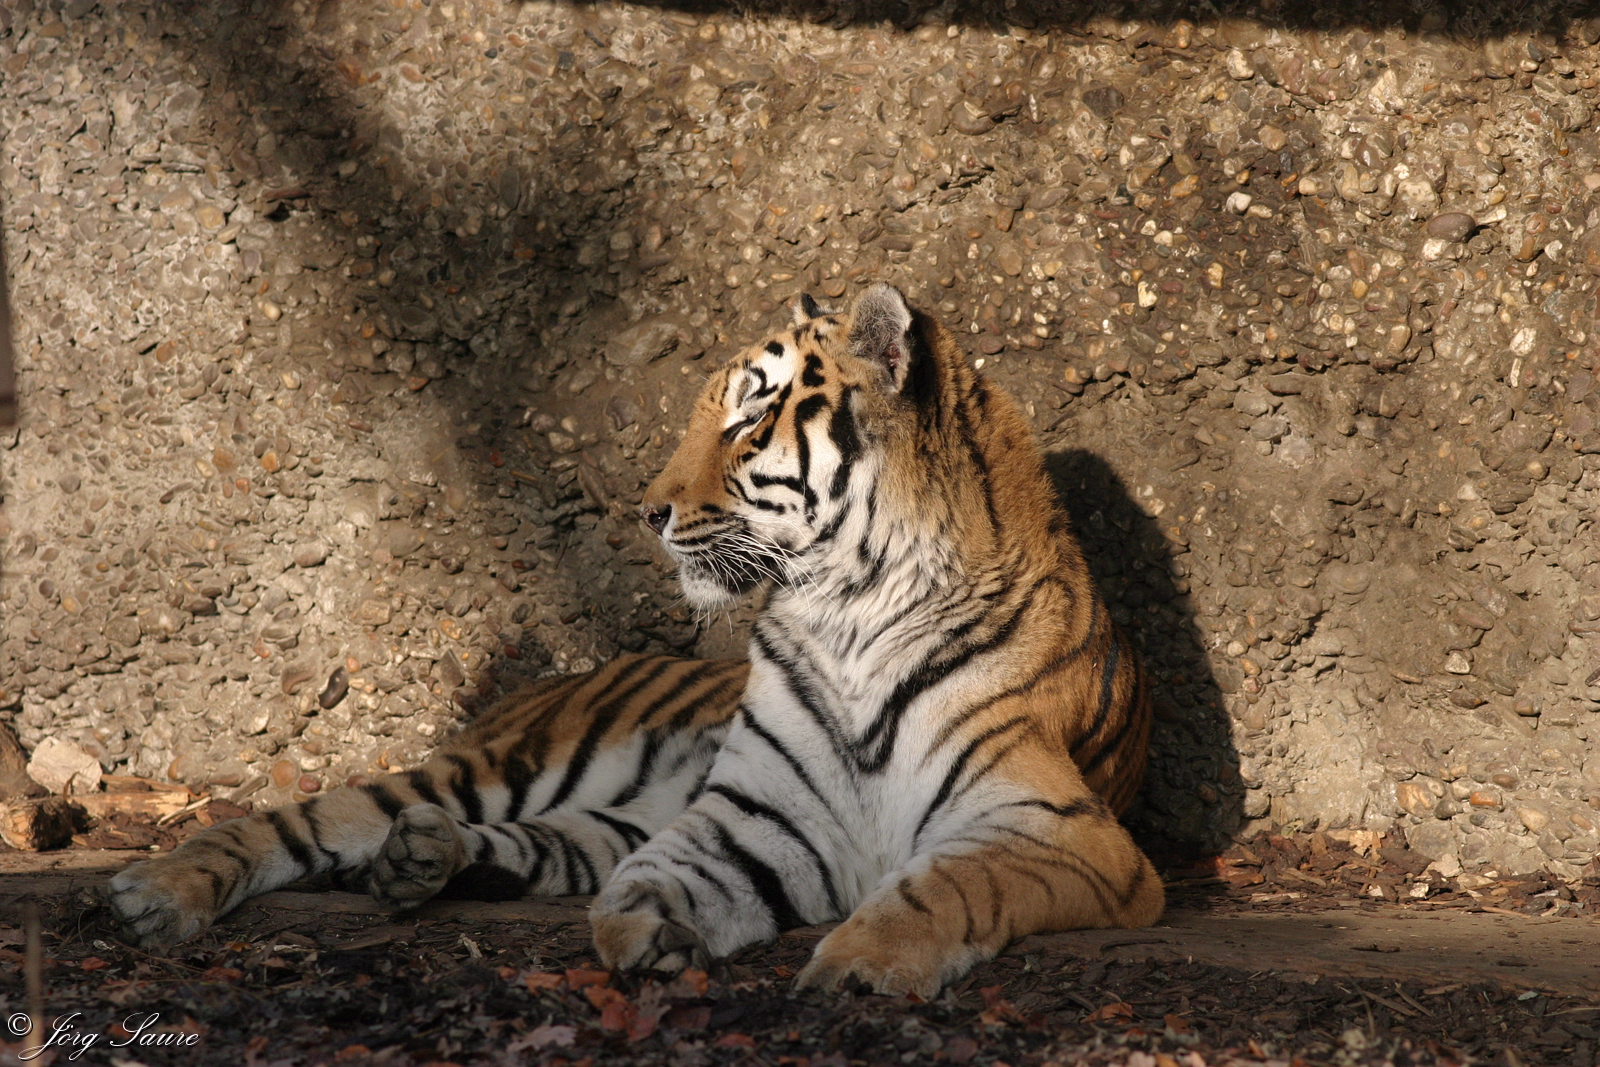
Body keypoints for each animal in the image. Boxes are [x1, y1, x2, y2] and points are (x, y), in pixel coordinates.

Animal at [108, 283, 1161, 996]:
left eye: (749, 418)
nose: (647, 509)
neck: (849, 610)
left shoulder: (1061, 830)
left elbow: (945, 884)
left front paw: (864, 960)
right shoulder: (765, 814)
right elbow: (667, 872)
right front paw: (641, 924)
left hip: (598, 808)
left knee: (535, 845)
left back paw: (424, 861)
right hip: (505, 764)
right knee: (292, 821)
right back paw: (158, 892)